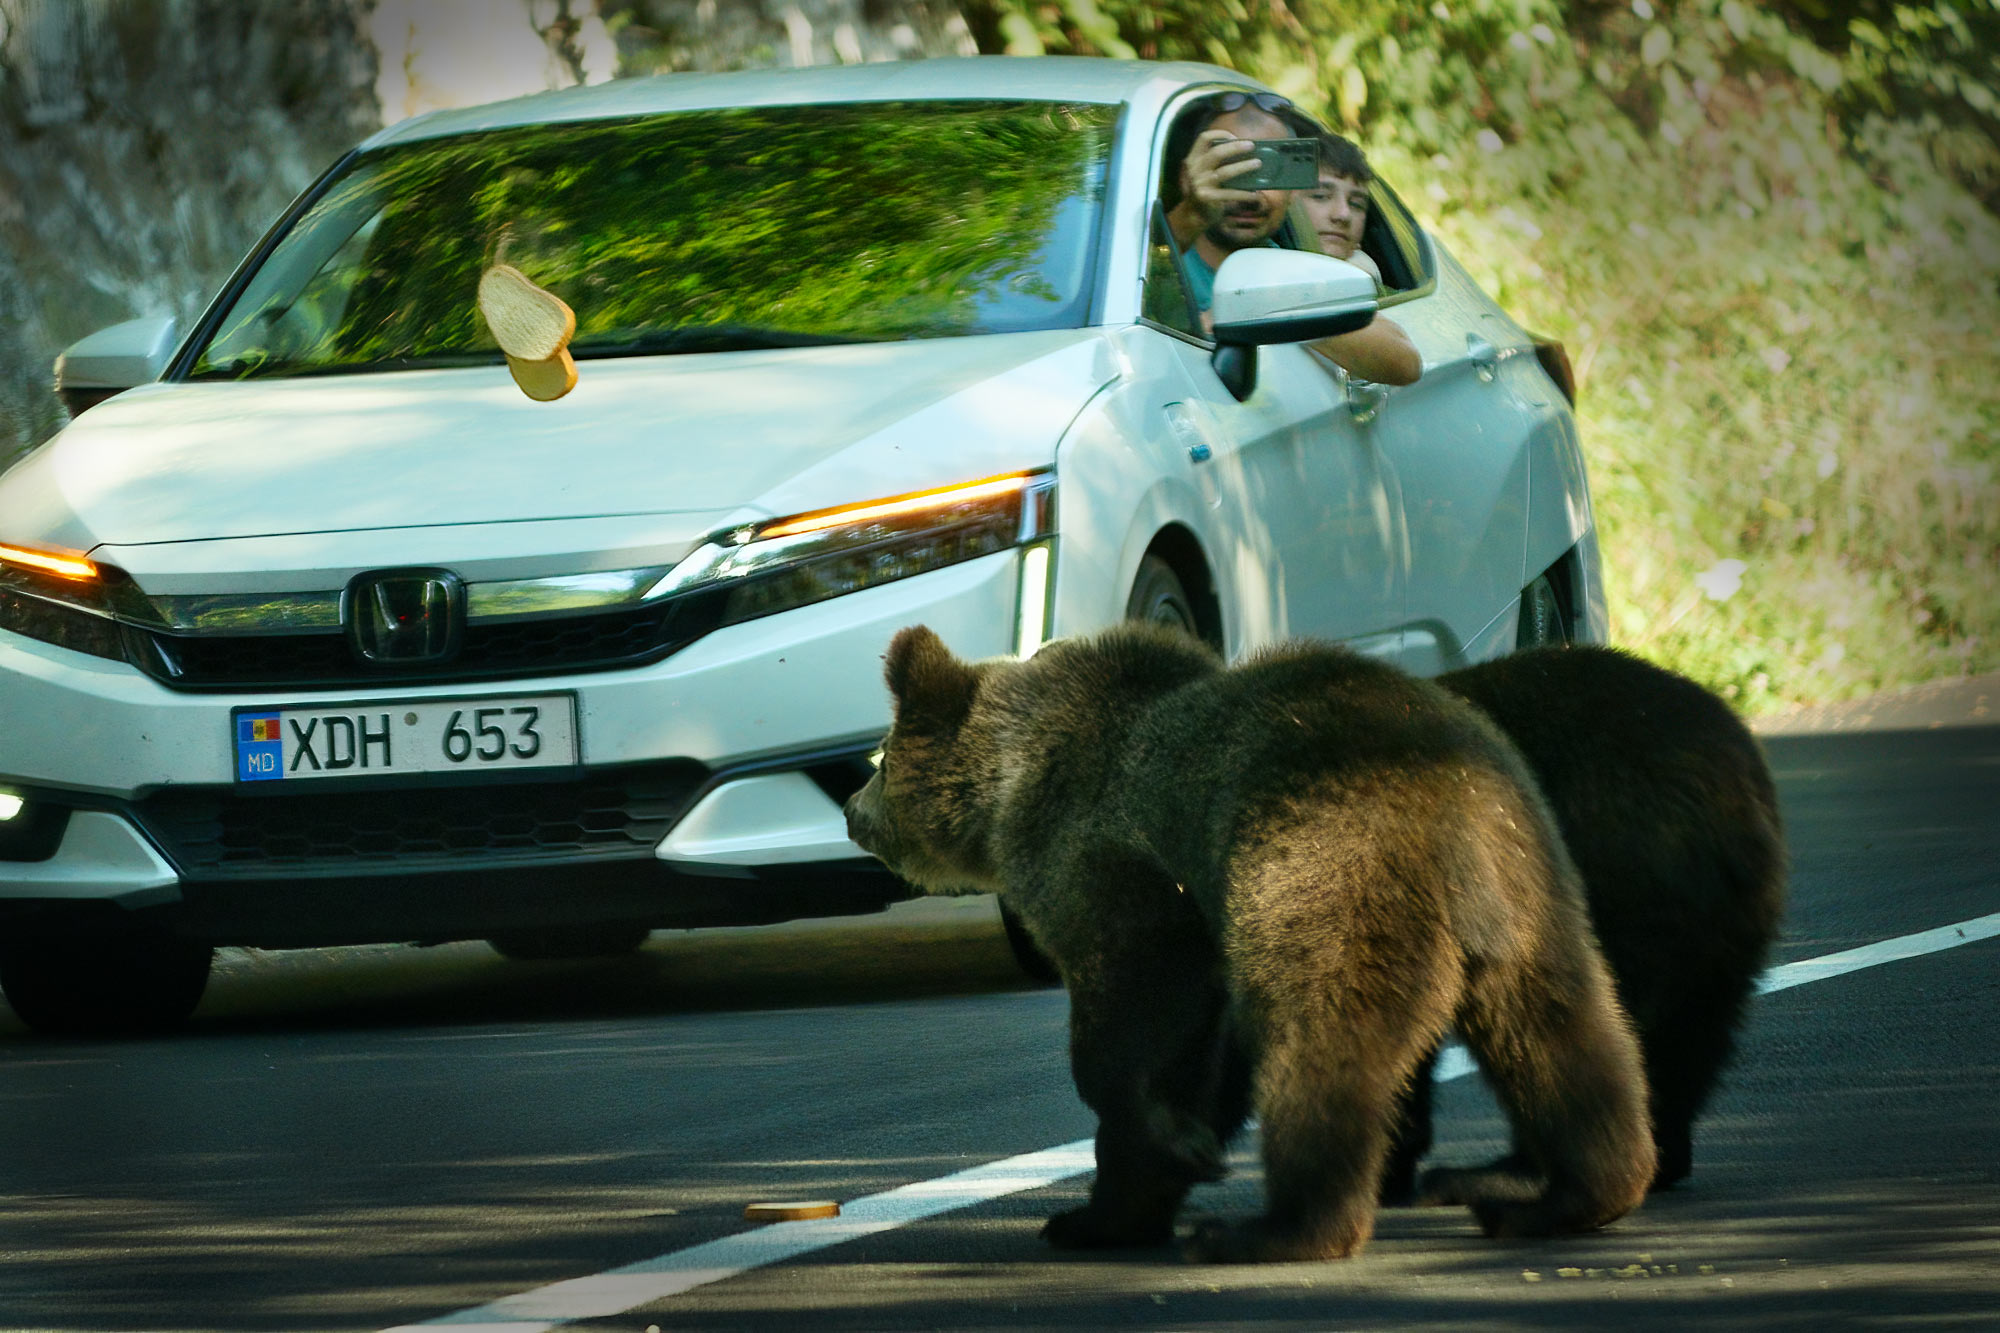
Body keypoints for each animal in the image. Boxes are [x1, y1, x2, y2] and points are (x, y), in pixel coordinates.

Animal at [844, 624, 1656, 1256]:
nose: (852, 810)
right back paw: (1570, 1194)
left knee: (1321, 1046)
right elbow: (1196, 1059)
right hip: (1530, 891)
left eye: (878, 757)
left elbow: (1133, 1009)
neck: (1009, 790)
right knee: (1564, 1036)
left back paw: (1280, 1228)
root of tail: (1451, 804)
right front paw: (1105, 1212)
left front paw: (1159, 1149)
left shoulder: (1119, 871)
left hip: (1328, 867)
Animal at [1384, 644, 1792, 1200]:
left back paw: (1521, 1169)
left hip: (1623, 889)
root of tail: (1737, 805)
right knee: (1692, 1035)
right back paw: (1663, 1155)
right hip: (1724, 931)